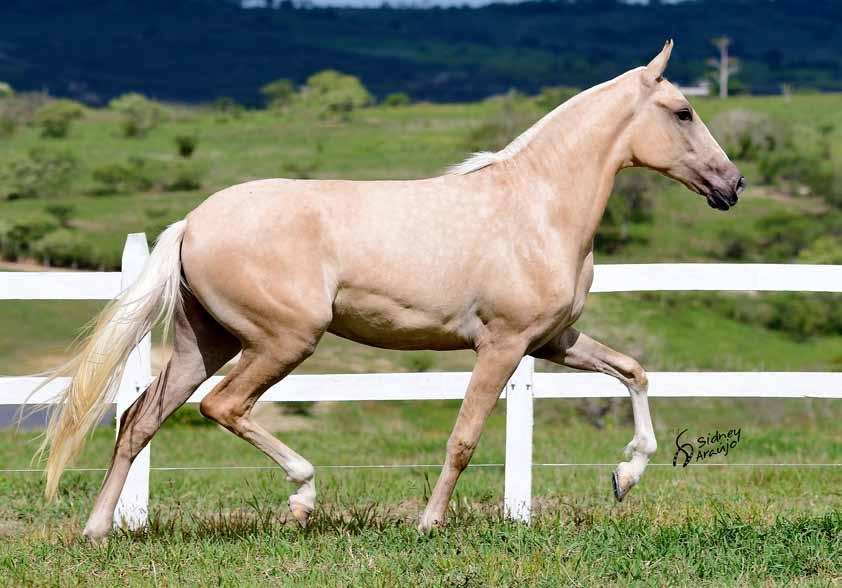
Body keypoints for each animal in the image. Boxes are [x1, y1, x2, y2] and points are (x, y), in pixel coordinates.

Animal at [37, 40, 740, 544]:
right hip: (283, 340)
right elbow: (463, 439)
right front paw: (429, 524)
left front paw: (625, 476)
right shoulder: (504, 345)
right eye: (684, 111)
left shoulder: (553, 340)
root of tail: (193, 222)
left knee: (138, 420)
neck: (537, 208)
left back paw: (97, 532)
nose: (731, 185)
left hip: (202, 342)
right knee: (222, 407)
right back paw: (302, 498)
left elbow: (634, 372)